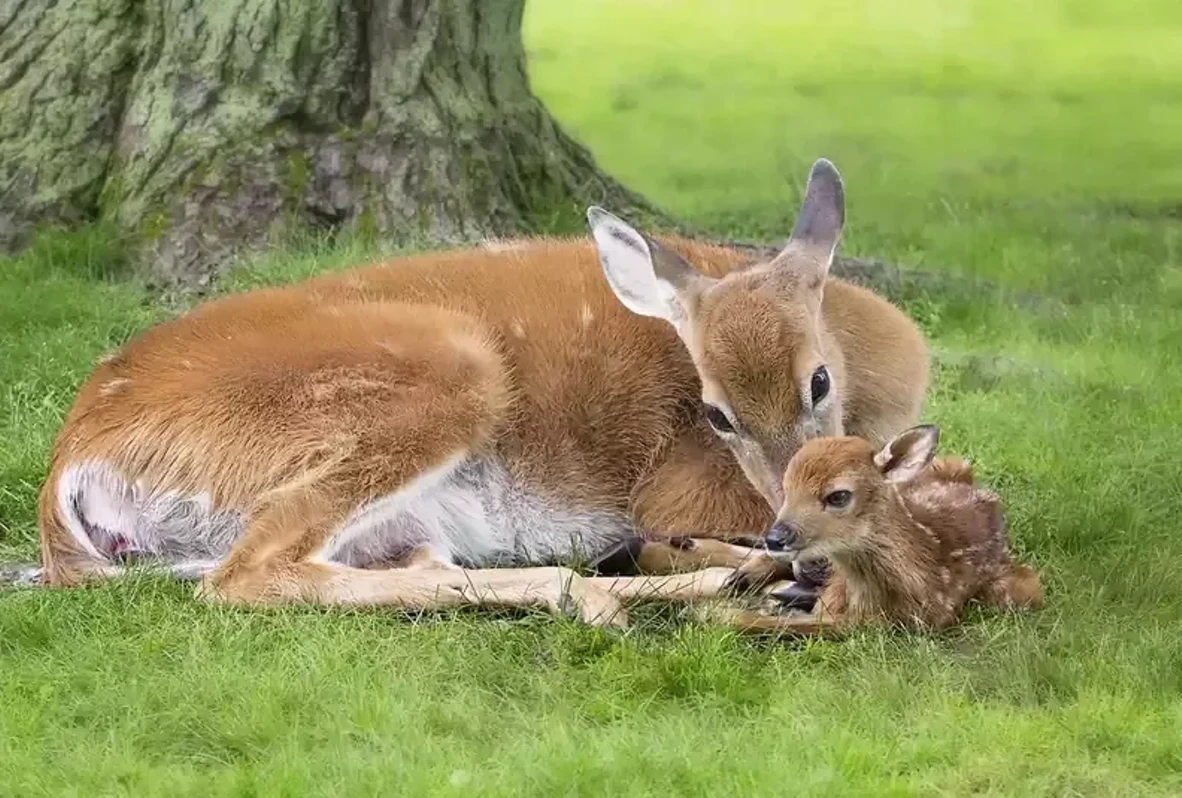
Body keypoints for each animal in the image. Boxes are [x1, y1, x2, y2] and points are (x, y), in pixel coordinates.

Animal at [24, 158, 930, 628]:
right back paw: (635, 592)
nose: (792, 537)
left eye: (817, 380)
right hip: (443, 379)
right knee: (247, 573)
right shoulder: (678, 485)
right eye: (714, 413)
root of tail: (68, 465)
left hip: (402, 516)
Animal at [704, 425, 1044, 636]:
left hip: (1021, 590)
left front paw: (714, 614)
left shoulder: (875, 623)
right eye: (787, 488)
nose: (776, 538)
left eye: (838, 496)